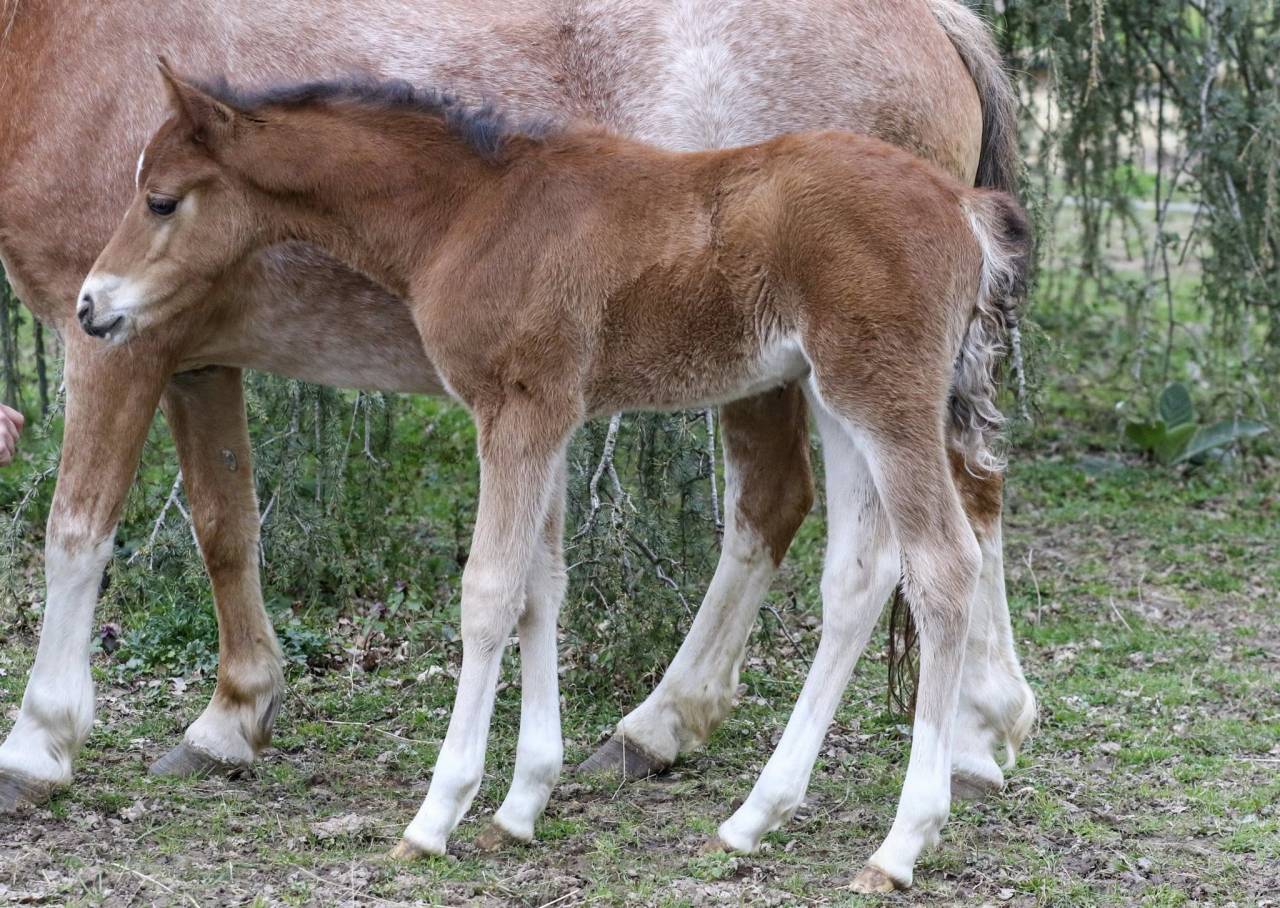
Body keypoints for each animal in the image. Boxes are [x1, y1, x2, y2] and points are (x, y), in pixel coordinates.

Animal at [0, 0, 1034, 852]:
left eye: (161, 198)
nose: (95, 303)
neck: (477, 207)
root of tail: (963, 208)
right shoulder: (531, 414)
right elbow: (522, 582)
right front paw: (517, 797)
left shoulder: (514, 411)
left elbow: (486, 591)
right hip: (842, 399)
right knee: (867, 565)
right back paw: (774, 799)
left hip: (875, 401)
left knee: (931, 554)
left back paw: (902, 825)